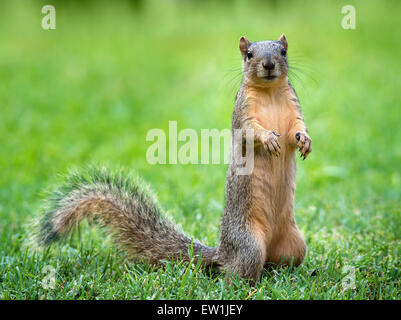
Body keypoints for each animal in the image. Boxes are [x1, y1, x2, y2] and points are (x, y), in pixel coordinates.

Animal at [38, 33, 312, 282]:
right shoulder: (242, 114)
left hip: (295, 244)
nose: (269, 64)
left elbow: (297, 128)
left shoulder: (293, 107)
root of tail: (223, 253)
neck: (270, 92)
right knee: (236, 274)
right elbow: (249, 131)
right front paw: (268, 139)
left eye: (283, 52)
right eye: (249, 55)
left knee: (276, 264)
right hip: (249, 246)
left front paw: (305, 141)